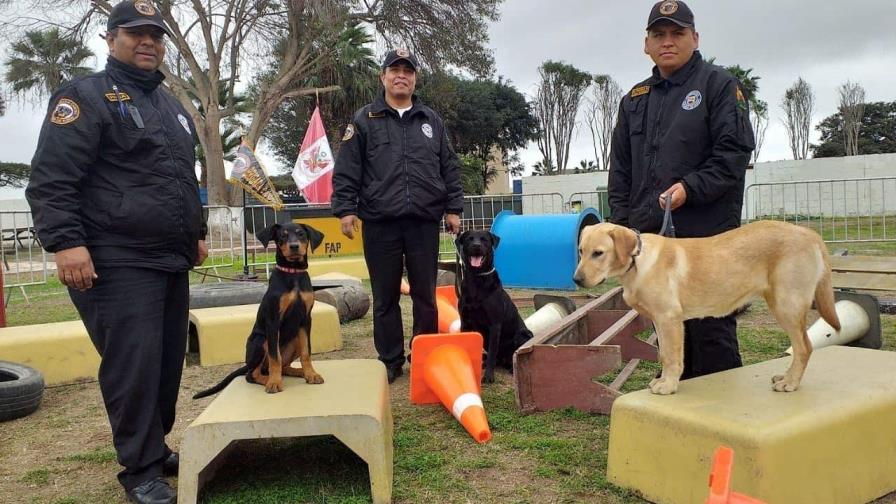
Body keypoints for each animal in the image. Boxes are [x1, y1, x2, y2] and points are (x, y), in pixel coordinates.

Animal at [194, 222, 328, 400]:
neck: (293, 274)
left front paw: (311, 374)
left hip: (294, 340)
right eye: (283, 235)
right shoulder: (273, 320)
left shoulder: (306, 319)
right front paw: (274, 383)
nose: (294, 246)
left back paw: (298, 372)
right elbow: (275, 357)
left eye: (301, 234)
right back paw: (269, 380)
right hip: (261, 340)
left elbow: (306, 352)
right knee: (252, 374)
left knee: (282, 366)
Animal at [456, 231, 532, 382]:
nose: (476, 246)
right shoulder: (465, 322)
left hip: (524, 334)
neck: (477, 279)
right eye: (469, 239)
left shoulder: (494, 325)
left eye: (484, 240)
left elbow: (492, 352)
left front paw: (488, 377)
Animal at [576, 222, 840, 396]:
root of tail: (809, 233)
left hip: (786, 305)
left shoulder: (669, 319)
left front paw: (668, 385)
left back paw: (790, 383)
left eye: (598, 253)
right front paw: (663, 381)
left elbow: (671, 357)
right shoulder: (659, 322)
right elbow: (663, 355)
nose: (576, 279)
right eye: (580, 251)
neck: (637, 262)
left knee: (804, 347)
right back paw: (785, 376)